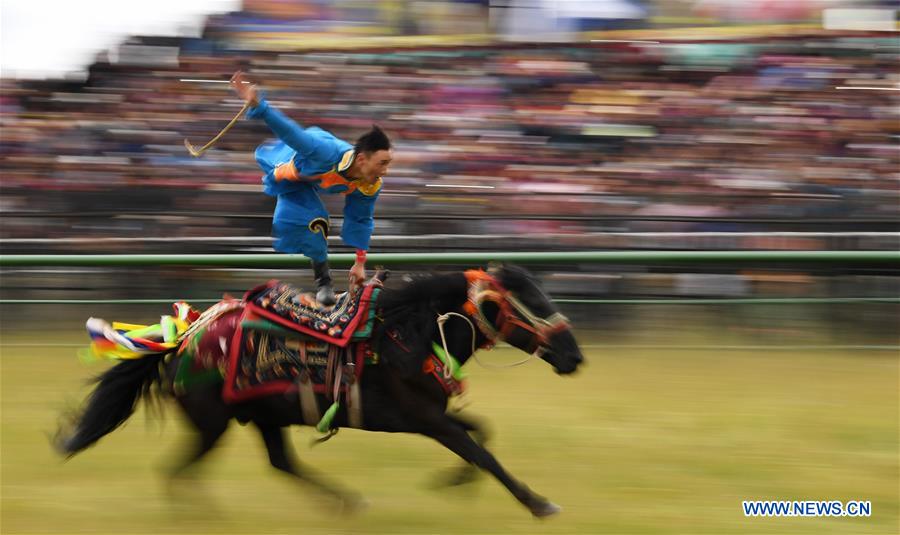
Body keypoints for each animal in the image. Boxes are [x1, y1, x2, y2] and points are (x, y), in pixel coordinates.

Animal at [59, 266, 588, 516]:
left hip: (263, 418)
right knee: (177, 470)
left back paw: (344, 502)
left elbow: (482, 434)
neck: (408, 333)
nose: (575, 357)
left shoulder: (432, 413)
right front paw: (538, 503)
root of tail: (186, 336)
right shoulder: (422, 419)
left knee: (280, 464)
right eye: (531, 301)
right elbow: (482, 452)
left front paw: (450, 482)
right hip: (213, 422)